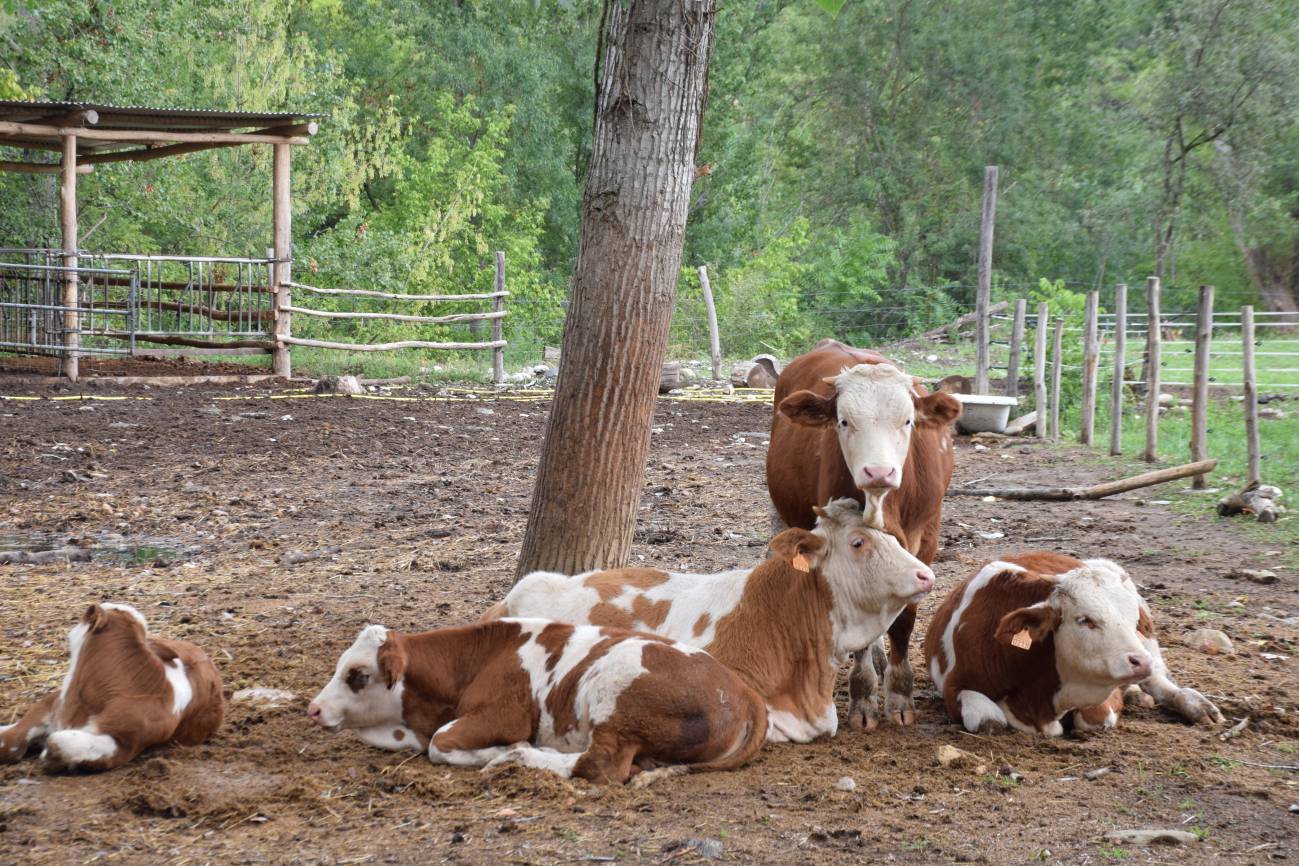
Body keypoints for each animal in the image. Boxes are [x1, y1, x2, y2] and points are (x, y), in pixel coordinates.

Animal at [307, 615, 763, 784]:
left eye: (358, 675)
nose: (314, 709)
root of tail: (743, 691)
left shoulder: (502, 716)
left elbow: (441, 742)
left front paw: (500, 752)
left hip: (615, 692)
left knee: (601, 764)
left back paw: (519, 756)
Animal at [763, 337, 961, 732]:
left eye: (907, 421)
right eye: (843, 421)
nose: (878, 472)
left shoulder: (926, 539)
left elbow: (904, 621)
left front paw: (900, 697)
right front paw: (863, 699)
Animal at [924, 555, 1215, 737]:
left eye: (1134, 620)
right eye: (1085, 620)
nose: (1140, 662)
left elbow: (1096, 719)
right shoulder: (955, 686)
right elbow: (990, 721)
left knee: (1160, 682)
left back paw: (1197, 705)